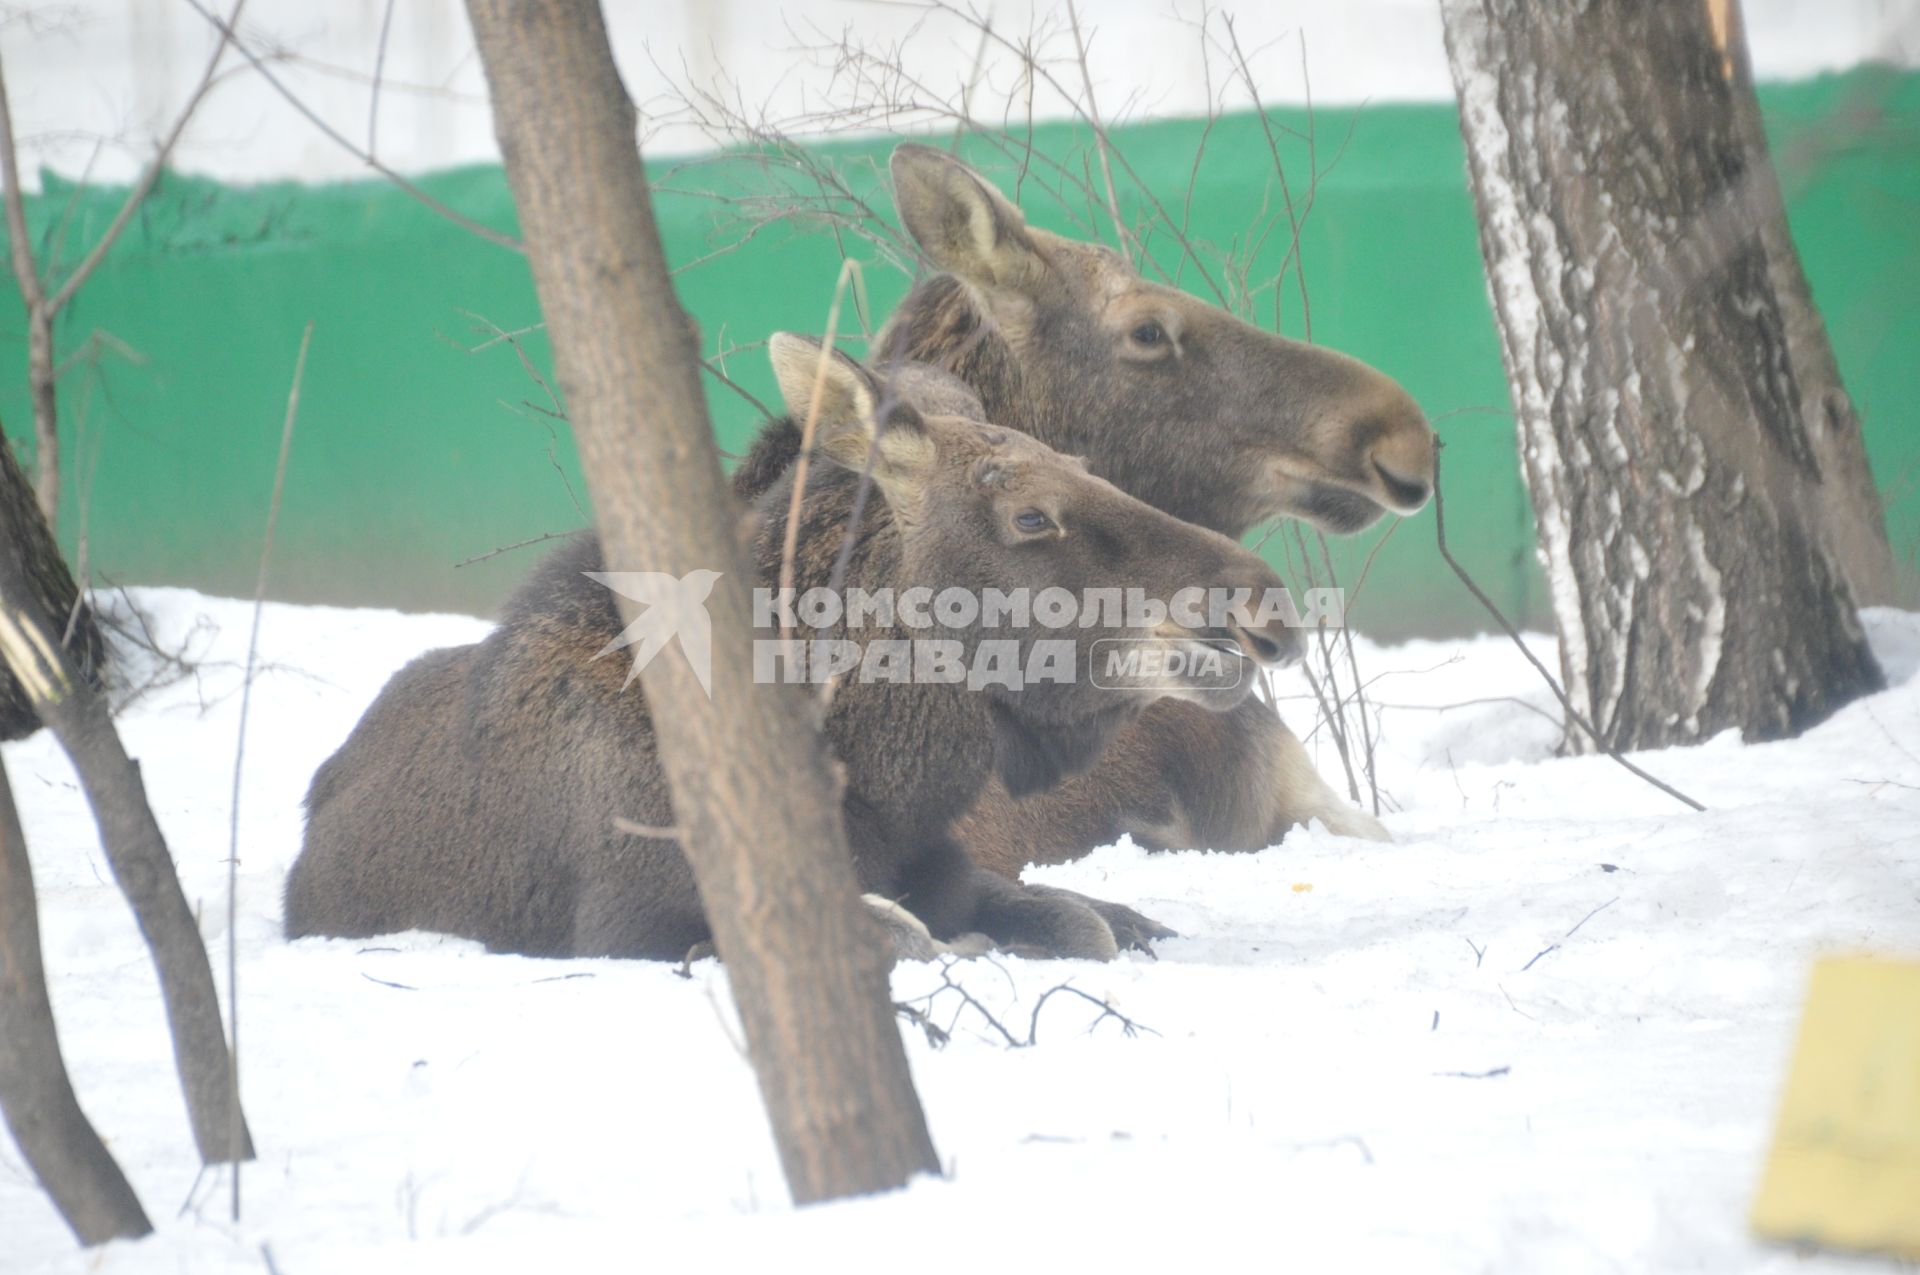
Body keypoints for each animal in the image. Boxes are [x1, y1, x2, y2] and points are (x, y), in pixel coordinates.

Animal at [284, 336, 1305, 956]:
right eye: (1028, 513)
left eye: (1086, 466)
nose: (1266, 603)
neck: (870, 776)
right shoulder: (637, 927)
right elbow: (907, 935)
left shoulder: (945, 864)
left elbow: (1077, 920)